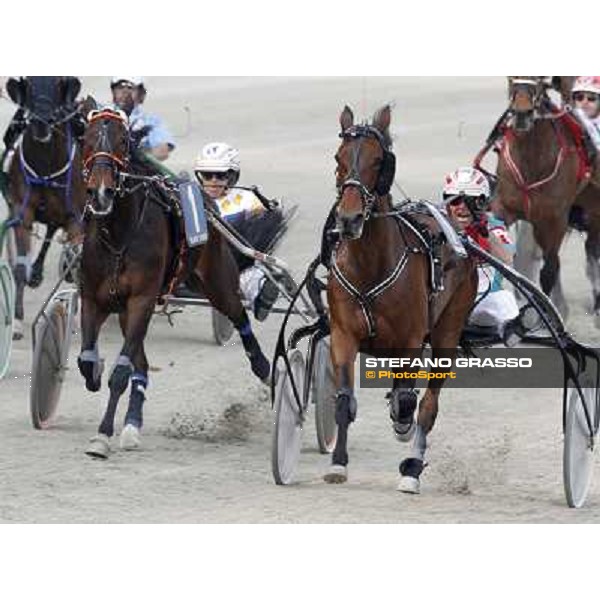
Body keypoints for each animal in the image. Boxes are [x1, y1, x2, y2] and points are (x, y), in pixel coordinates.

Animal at [4, 76, 86, 338]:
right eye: (29, 83)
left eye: (60, 82)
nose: (41, 123)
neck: (46, 168)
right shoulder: (23, 211)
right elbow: (20, 265)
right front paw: (17, 320)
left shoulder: (76, 219)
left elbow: (79, 262)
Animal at [79, 108, 270, 458]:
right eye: (86, 139)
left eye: (123, 141)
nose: (100, 193)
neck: (119, 236)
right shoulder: (94, 299)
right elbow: (87, 362)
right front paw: (96, 374)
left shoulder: (141, 299)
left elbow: (121, 372)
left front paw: (102, 435)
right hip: (128, 310)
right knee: (141, 364)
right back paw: (132, 424)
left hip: (217, 281)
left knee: (239, 315)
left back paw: (263, 368)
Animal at [326, 105, 476, 492]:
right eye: (339, 157)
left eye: (379, 161)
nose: (348, 219)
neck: (370, 265)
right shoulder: (343, 335)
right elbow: (344, 400)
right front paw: (337, 463)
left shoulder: (410, 339)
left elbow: (409, 401)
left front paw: (402, 426)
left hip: (448, 330)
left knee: (428, 404)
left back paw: (412, 466)